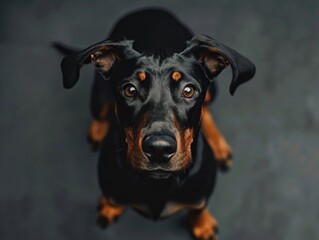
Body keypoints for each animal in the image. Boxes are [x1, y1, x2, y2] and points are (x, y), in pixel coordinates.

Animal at [56, 7, 256, 240]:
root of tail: (149, 9)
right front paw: (109, 207)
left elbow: (198, 207)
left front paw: (203, 223)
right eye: (130, 89)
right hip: (98, 92)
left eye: (189, 90)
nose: (159, 149)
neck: (158, 185)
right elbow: (112, 198)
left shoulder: (200, 195)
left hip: (212, 91)